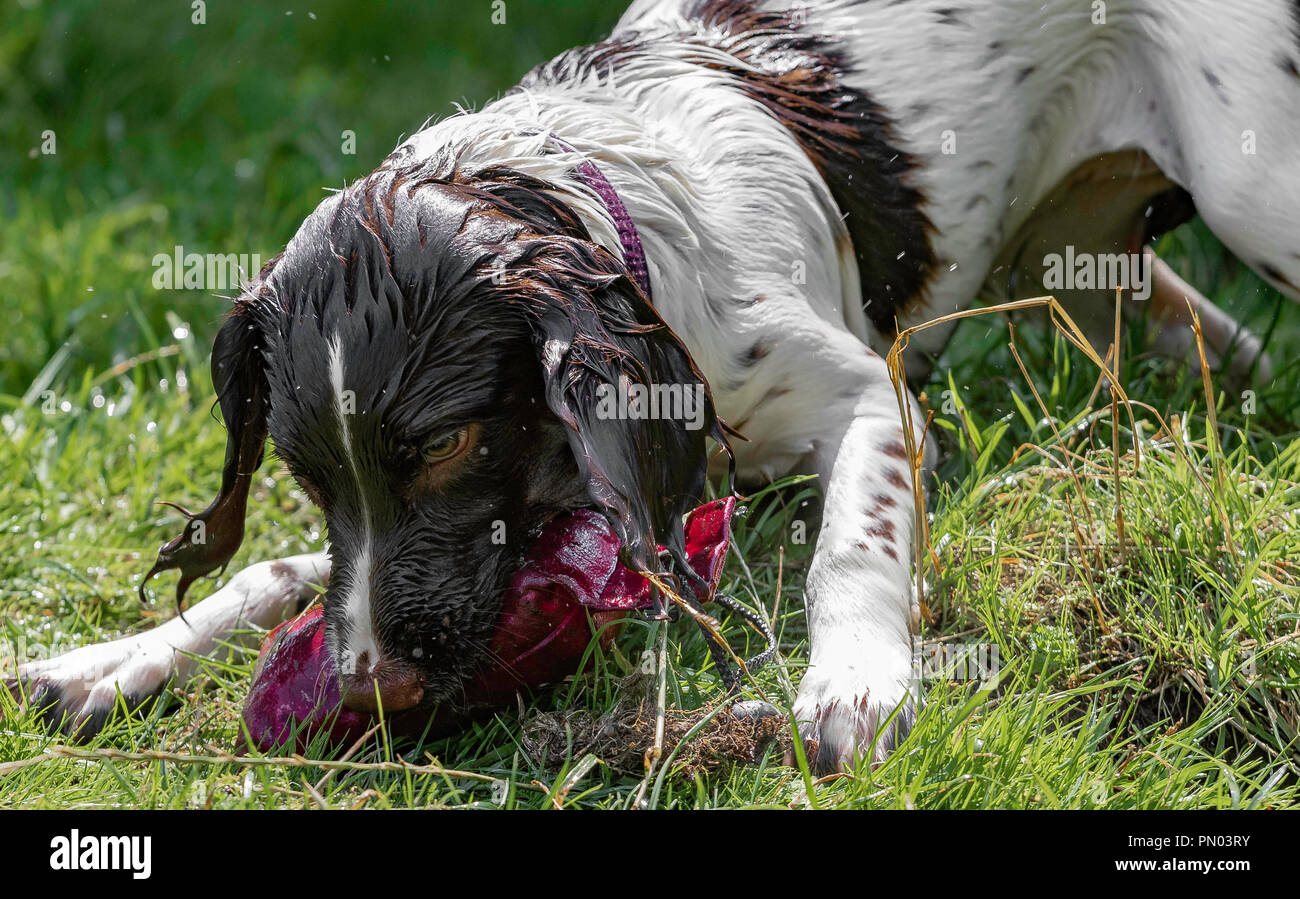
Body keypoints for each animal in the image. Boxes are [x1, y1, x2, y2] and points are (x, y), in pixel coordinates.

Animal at [12, 0, 1300, 774]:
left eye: (444, 446)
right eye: (302, 470)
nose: (375, 691)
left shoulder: (864, 399)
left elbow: (855, 542)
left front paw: (856, 677)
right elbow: (283, 570)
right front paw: (111, 659)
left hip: (1250, 189)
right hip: (1071, 259)